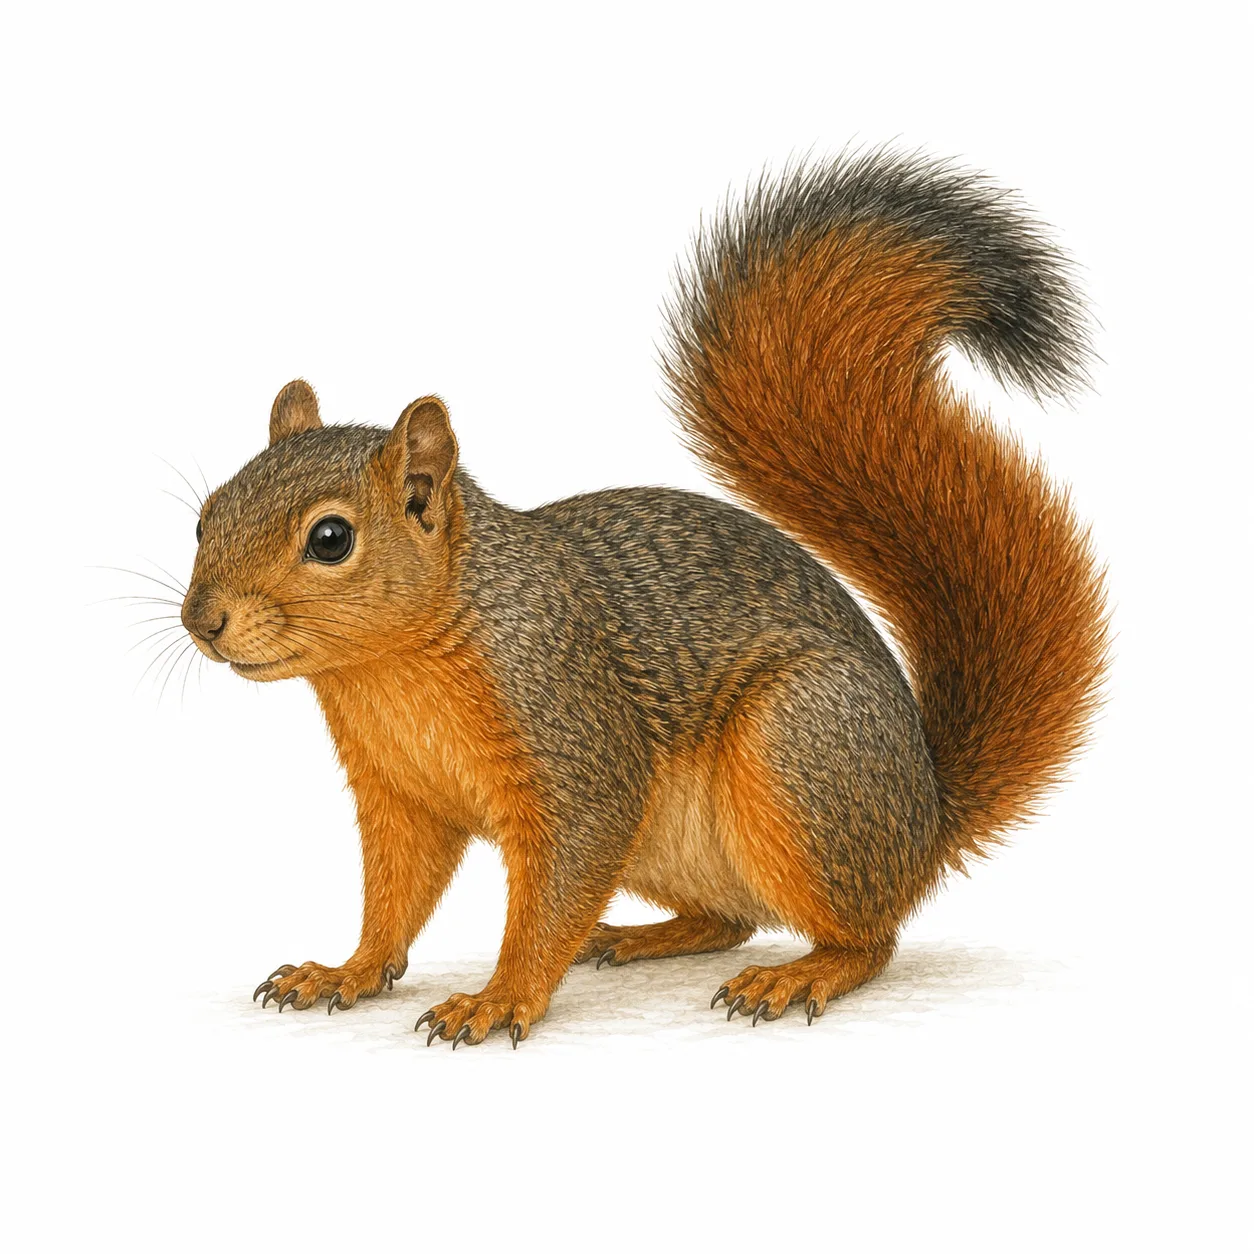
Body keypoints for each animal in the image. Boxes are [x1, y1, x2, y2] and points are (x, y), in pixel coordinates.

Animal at [182, 148, 1109, 1047]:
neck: (388, 670)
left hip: (799, 756)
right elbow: (395, 895)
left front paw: (500, 998)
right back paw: (636, 937)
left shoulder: (576, 739)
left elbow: (553, 890)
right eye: (205, 515)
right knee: (730, 919)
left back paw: (799, 974)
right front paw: (345, 970)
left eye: (330, 539)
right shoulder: (400, 796)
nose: (201, 620)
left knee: (867, 935)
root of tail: (923, 820)